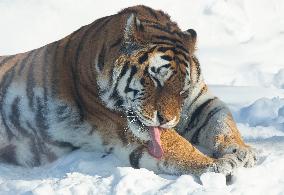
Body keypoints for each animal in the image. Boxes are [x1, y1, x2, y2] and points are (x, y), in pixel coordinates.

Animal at [0, 4, 258, 175]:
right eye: (156, 80)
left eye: (182, 92)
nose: (166, 120)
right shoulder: (121, 124)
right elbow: (177, 144)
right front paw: (217, 165)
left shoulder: (200, 102)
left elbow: (222, 122)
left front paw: (243, 152)